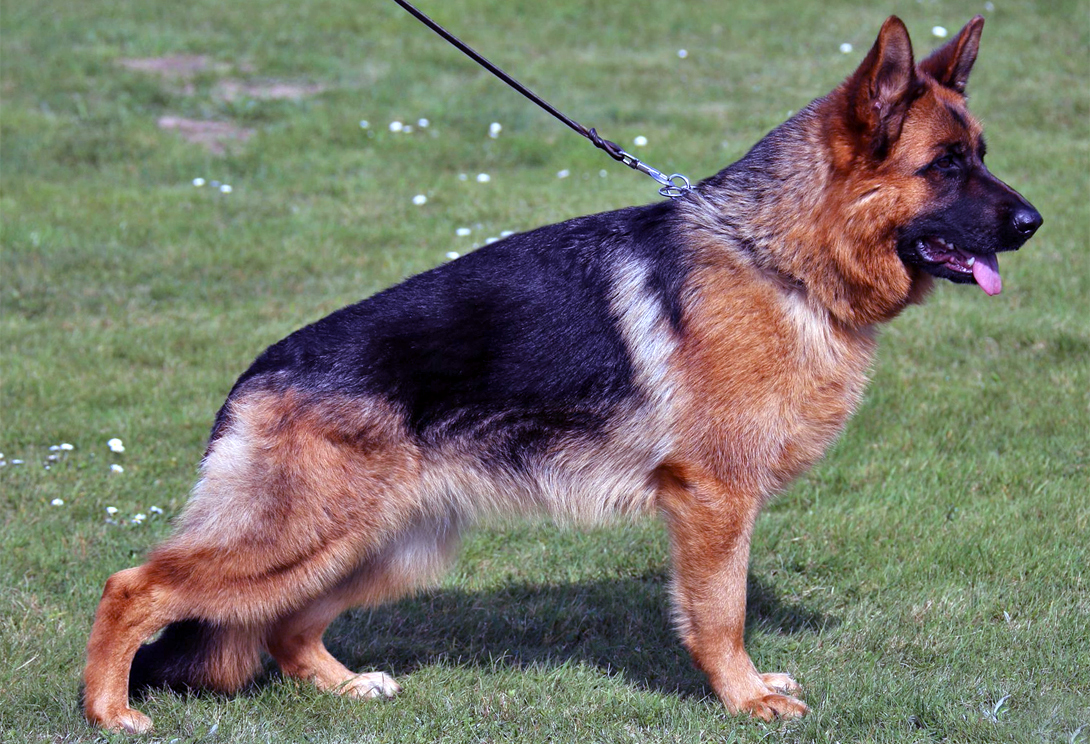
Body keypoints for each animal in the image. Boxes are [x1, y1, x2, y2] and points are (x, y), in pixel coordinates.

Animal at [84, 16, 1040, 732]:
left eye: (983, 153)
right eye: (946, 166)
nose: (1036, 221)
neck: (778, 258)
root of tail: (257, 372)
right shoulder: (714, 501)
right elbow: (721, 613)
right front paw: (743, 698)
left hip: (381, 542)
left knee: (284, 627)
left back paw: (346, 685)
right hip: (303, 536)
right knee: (134, 586)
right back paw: (108, 710)